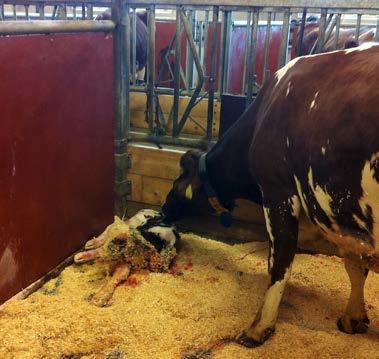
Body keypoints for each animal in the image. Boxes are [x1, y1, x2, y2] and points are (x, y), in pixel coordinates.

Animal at [162, 43, 379, 348]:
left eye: (178, 179)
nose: (163, 209)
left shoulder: (278, 192)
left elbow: (279, 263)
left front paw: (258, 328)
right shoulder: (343, 216)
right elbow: (354, 264)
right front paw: (353, 317)